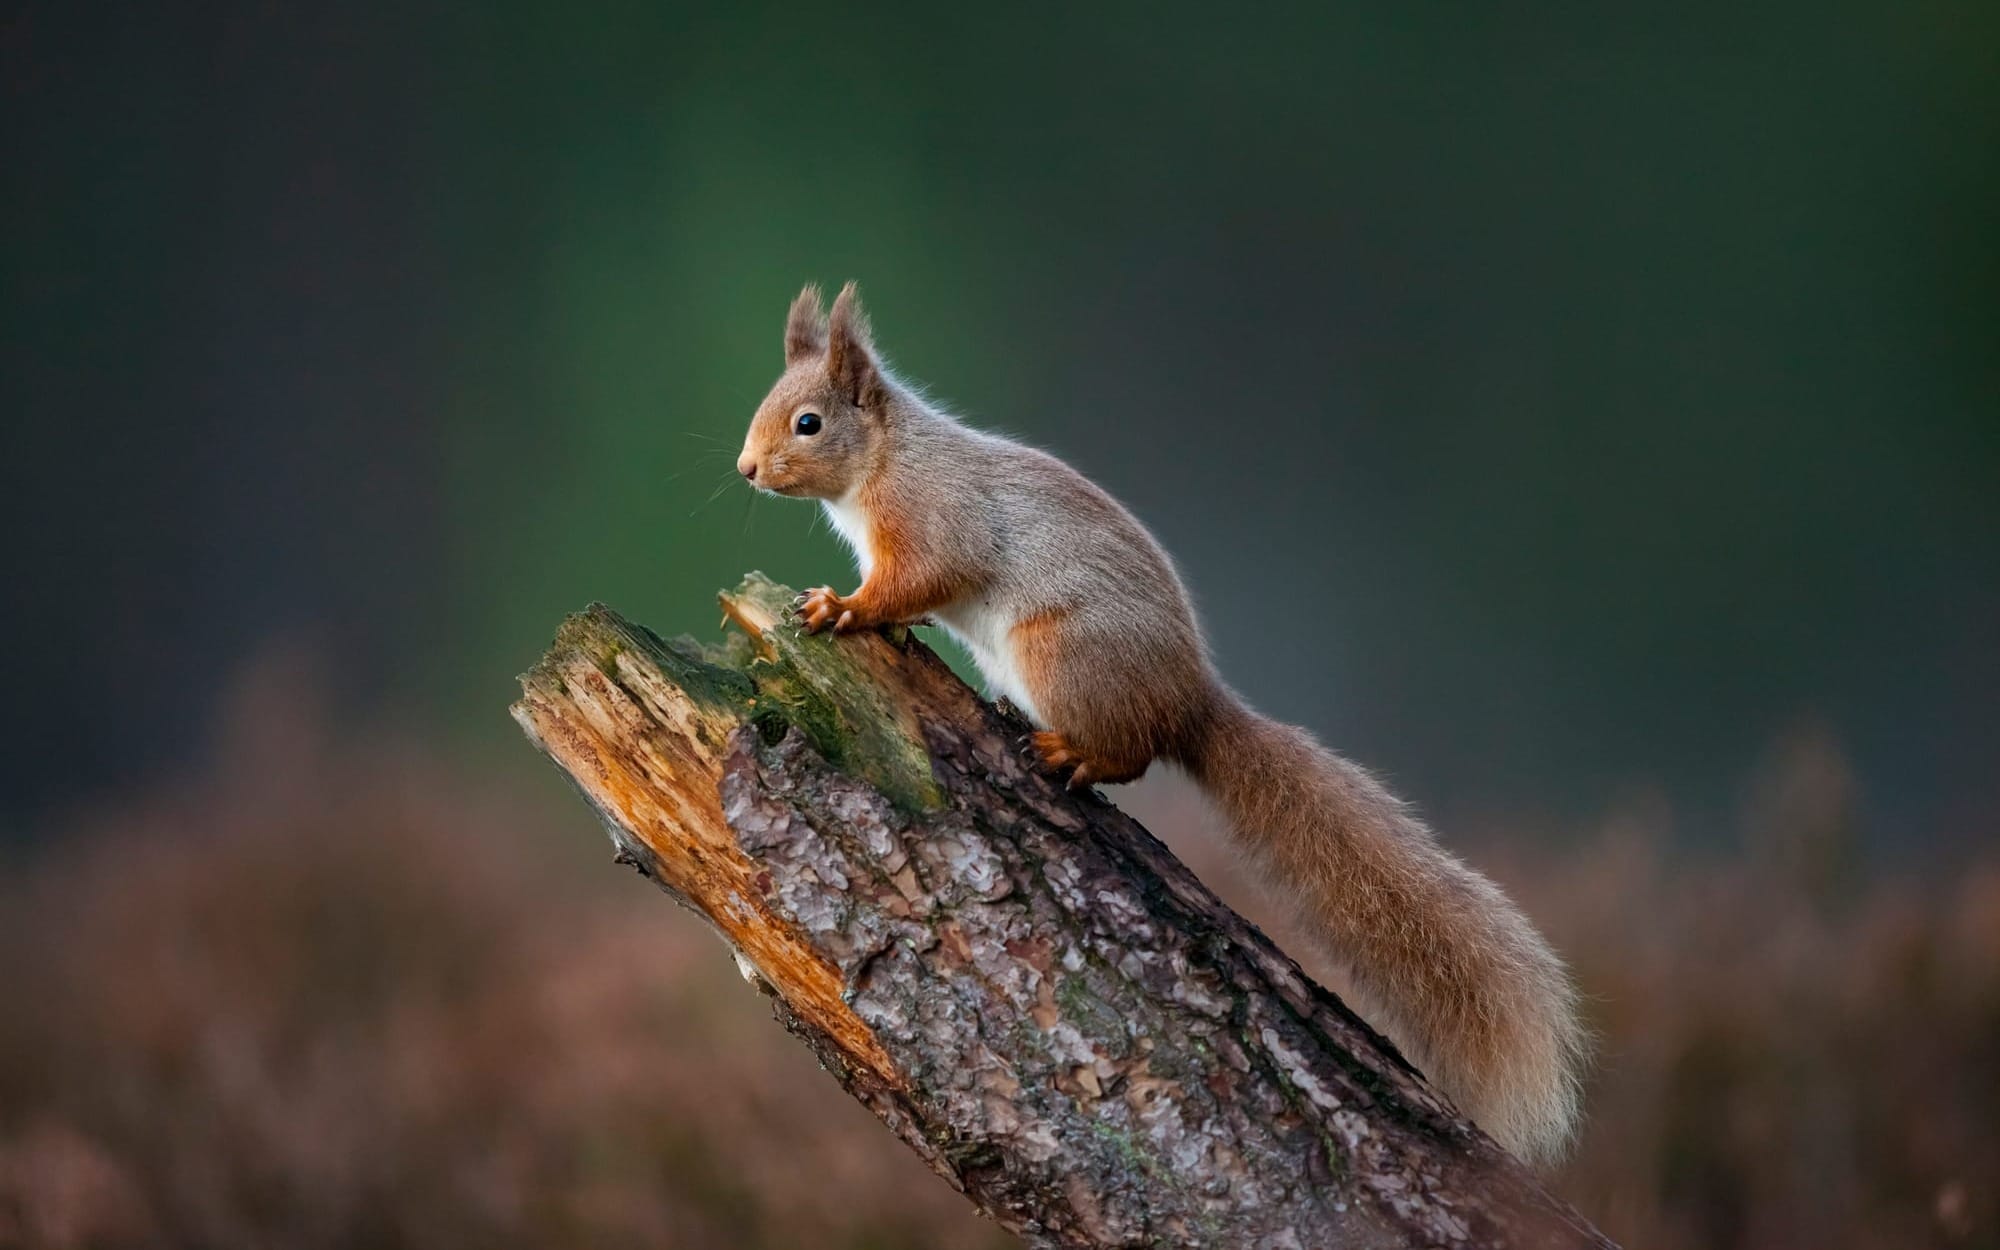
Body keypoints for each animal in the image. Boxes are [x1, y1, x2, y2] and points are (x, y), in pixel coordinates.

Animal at [735, 282, 1589, 1165]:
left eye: (809, 422)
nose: (746, 469)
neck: (886, 459)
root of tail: (1191, 706)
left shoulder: (934, 520)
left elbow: (919, 580)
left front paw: (844, 609)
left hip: (1060, 655)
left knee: (1133, 755)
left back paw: (1070, 755)